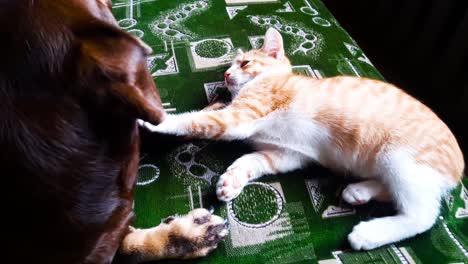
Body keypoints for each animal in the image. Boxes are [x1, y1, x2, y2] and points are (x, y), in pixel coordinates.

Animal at [137, 27, 462, 251]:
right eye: (230, 66)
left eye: (245, 64)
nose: (227, 74)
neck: (271, 80)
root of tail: (459, 168)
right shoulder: (286, 154)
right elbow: (252, 159)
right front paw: (232, 179)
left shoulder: (240, 118)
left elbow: (194, 120)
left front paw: (156, 119)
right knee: (392, 191)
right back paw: (359, 191)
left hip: (400, 161)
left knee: (422, 215)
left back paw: (370, 233)